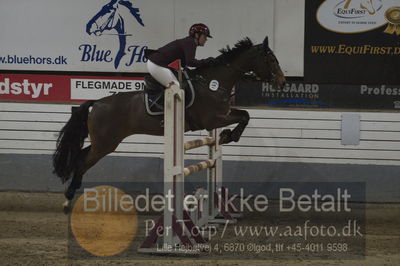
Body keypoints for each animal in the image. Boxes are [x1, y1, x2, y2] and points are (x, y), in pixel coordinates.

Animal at [53, 35, 286, 212]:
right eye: (271, 60)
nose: (282, 82)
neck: (215, 83)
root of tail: (97, 103)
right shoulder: (213, 118)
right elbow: (244, 117)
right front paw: (229, 136)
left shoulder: (223, 114)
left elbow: (244, 114)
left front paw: (226, 136)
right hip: (106, 144)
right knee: (82, 162)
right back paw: (67, 201)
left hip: (103, 142)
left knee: (80, 156)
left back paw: (68, 196)